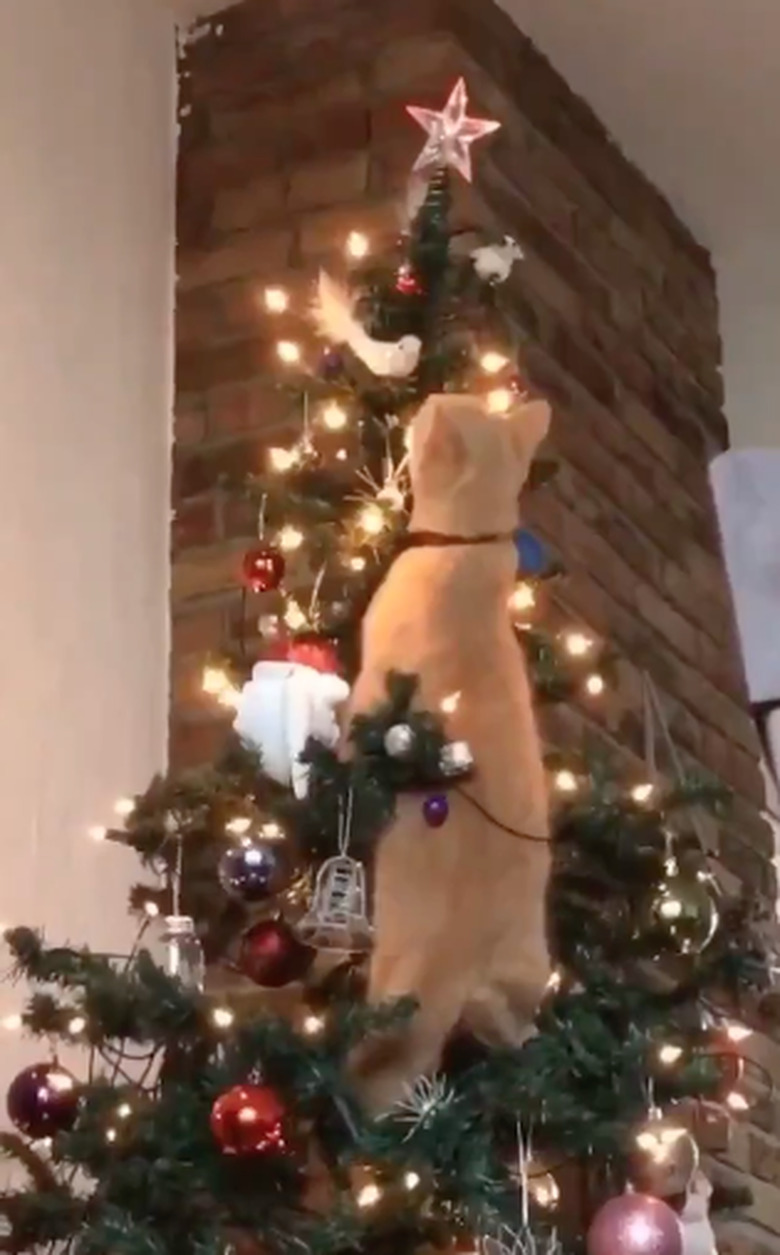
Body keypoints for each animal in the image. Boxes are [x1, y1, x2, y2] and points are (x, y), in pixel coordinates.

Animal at [346, 391, 554, 1109]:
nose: (421, 400)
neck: (469, 550)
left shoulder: (364, 701)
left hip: (389, 1001)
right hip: (526, 971)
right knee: (516, 1029)